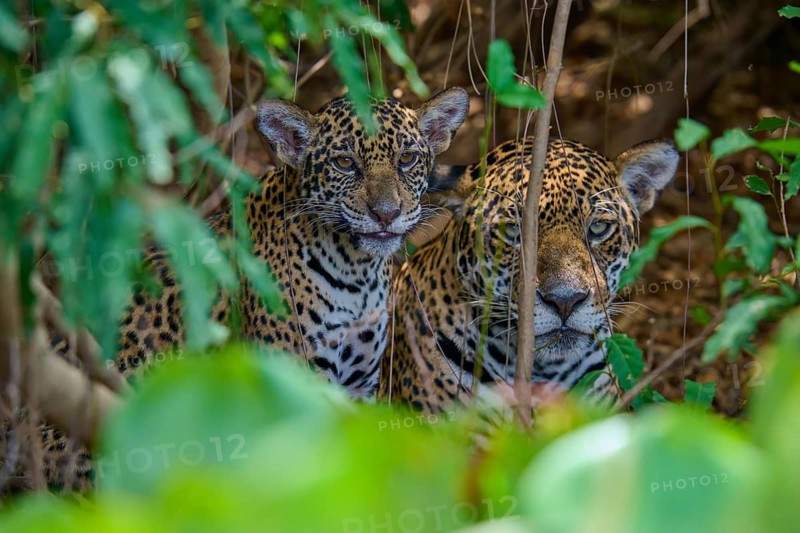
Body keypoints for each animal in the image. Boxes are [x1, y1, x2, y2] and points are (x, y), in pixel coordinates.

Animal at [3, 88, 470, 493]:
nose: (386, 214)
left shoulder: (359, 385)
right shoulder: (292, 385)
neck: (356, 271)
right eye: (344, 162)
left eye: (407, 159)